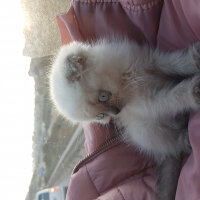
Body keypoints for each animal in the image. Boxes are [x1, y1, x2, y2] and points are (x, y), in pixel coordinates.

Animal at [48, 39, 200, 200]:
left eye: (103, 96)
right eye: (100, 116)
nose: (116, 112)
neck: (126, 83)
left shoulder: (150, 61)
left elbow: (174, 62)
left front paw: (195, 57)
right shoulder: (150, 103)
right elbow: (174, 97)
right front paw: (193, 91)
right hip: (145, 133)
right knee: (173, 146)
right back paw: (187, 139)